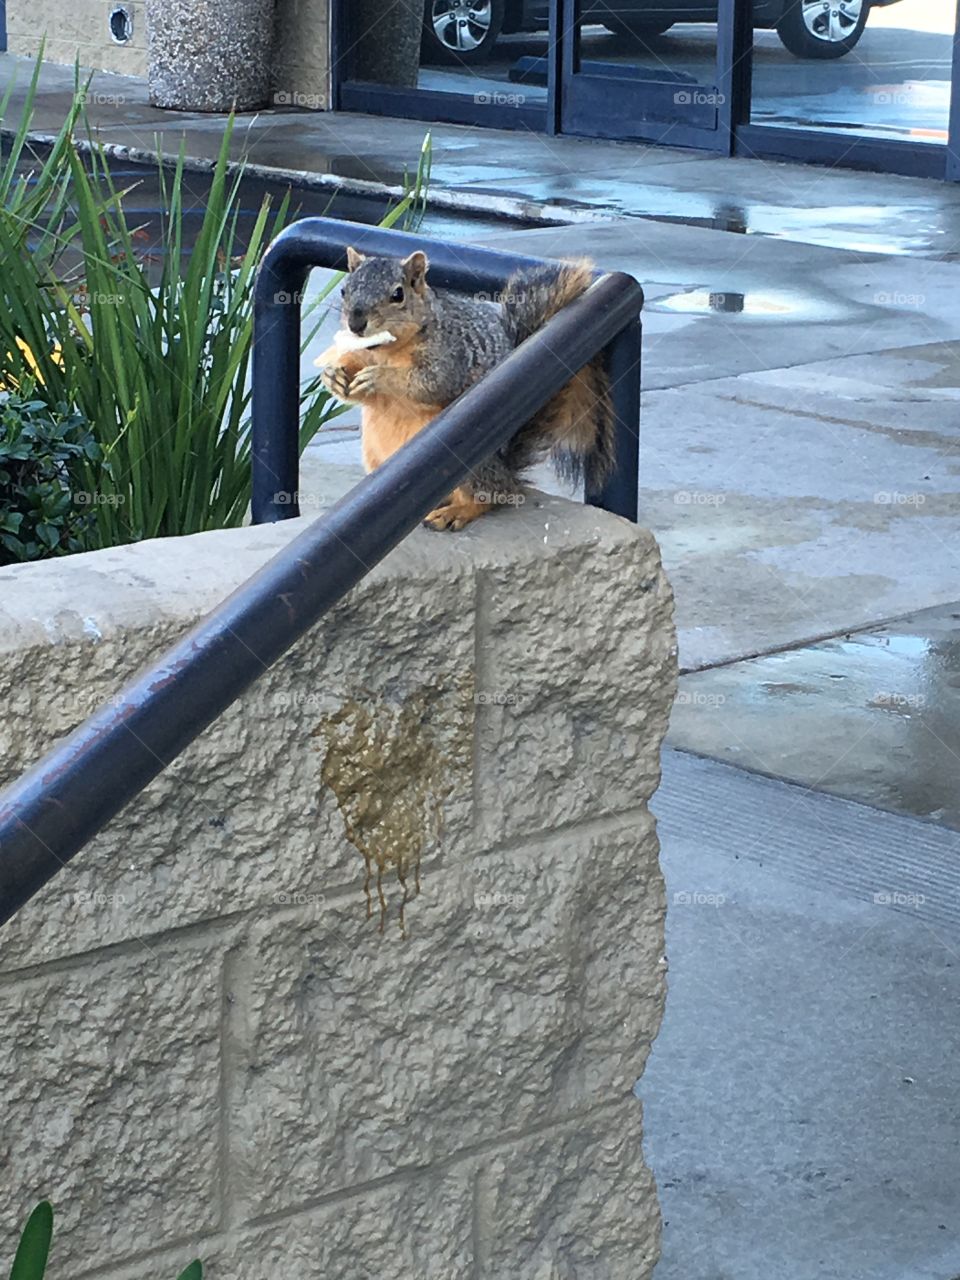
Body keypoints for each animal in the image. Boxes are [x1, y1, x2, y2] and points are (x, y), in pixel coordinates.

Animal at [317, 247, 613, 531]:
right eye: (344, 290)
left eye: (397, 294)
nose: (355, 324)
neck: (386, 350)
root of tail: (507, 472)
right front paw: (333, 375)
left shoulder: (451, 356)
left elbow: (430, 383)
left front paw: (378, 377)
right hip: (375, 455)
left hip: (467, 464)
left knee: (491, 495)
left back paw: (455, 512)